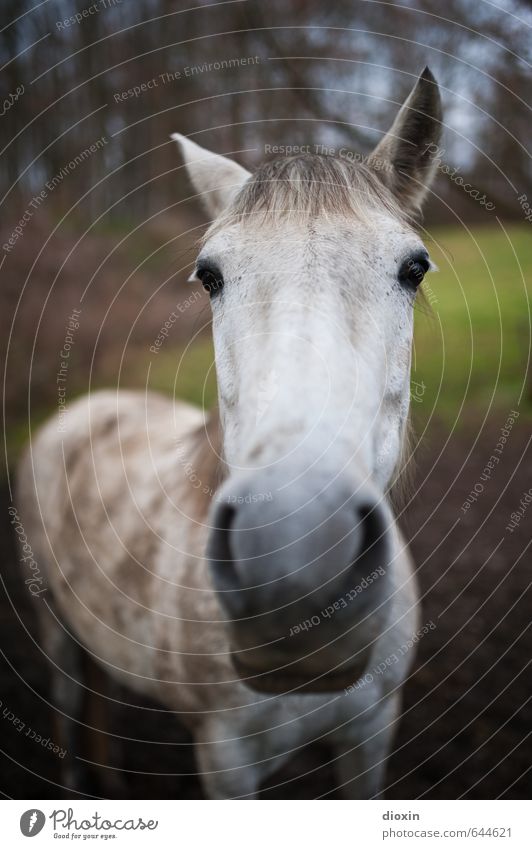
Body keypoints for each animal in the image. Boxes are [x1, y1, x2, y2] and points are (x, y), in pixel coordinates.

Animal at [15, 66, 440, 796]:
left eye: (414, 267)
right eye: (209, 275)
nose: (296, 559)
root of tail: (79, 411)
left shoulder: (371, 734)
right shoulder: (226, 758)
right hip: (56, 634)